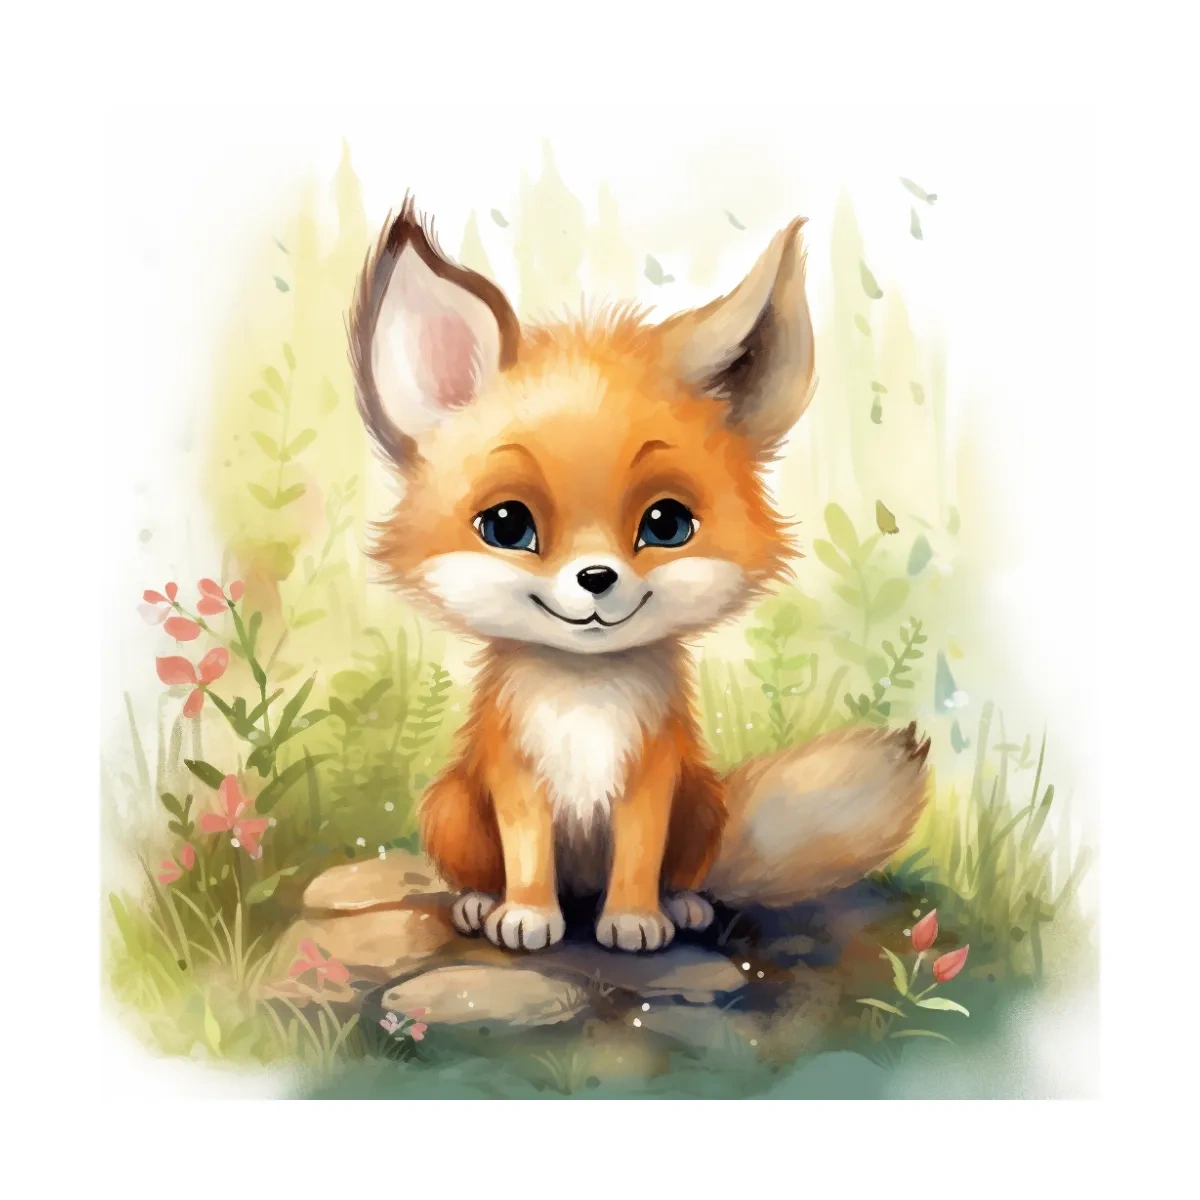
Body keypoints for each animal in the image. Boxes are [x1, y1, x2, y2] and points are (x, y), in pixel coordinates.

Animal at [347, 196, 929, 954]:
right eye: (507, 526)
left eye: (666, 524)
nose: (596, 578)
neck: (585, 698)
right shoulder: (516, 776)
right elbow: (527, 853)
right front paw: (527, 914)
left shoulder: (654, 777)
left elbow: (639, 855)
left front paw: (633, 918)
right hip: (450, 805)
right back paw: (480, 903)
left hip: (702, 804)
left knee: (688, 871)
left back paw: (681, 905)